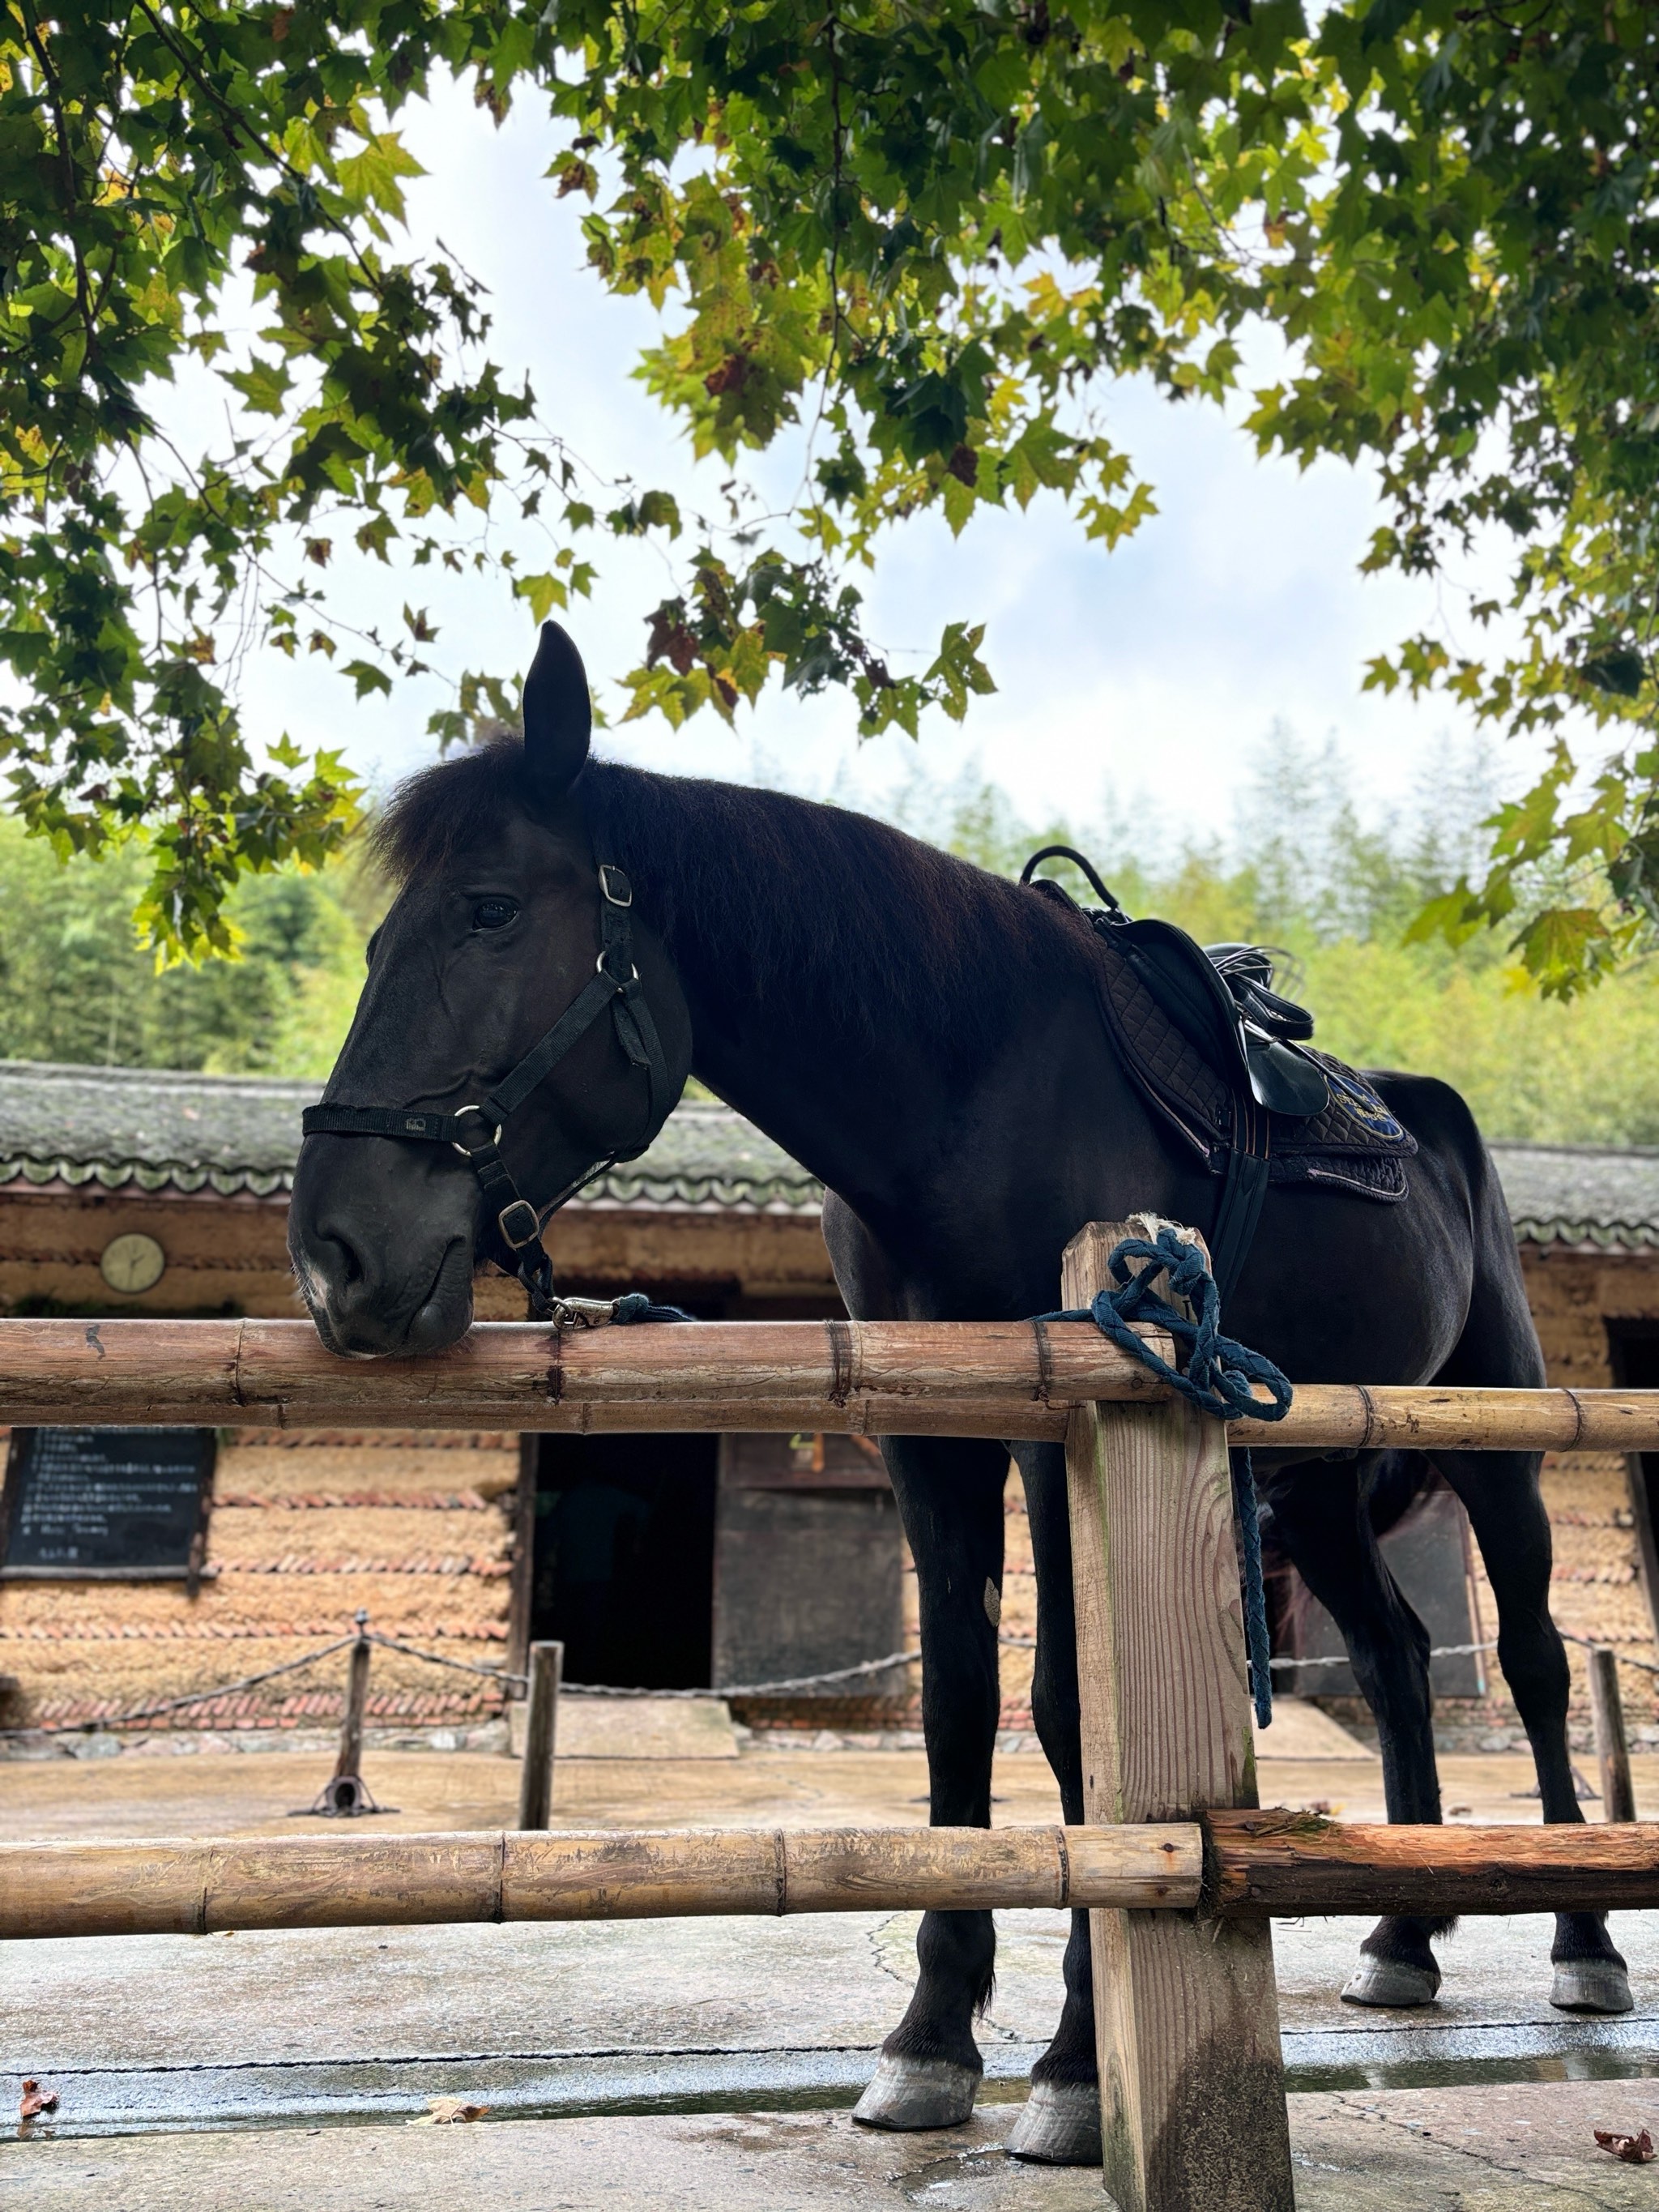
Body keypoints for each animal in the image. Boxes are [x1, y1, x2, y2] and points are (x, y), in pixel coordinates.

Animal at [292, 619, 1627, 2159]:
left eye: (492, 911)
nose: (334, 1254)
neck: (963, 1091)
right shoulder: (927, 1437)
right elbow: (953, 1710)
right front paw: (929, 2038)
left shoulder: (1068, 1426)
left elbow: (1066, 1715)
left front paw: (1073, 2063)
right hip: (1312, 1481)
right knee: (1403, 1661)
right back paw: (1402, 1941)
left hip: (1497, 1443)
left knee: (1531, 1660)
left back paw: (1586, 1939)